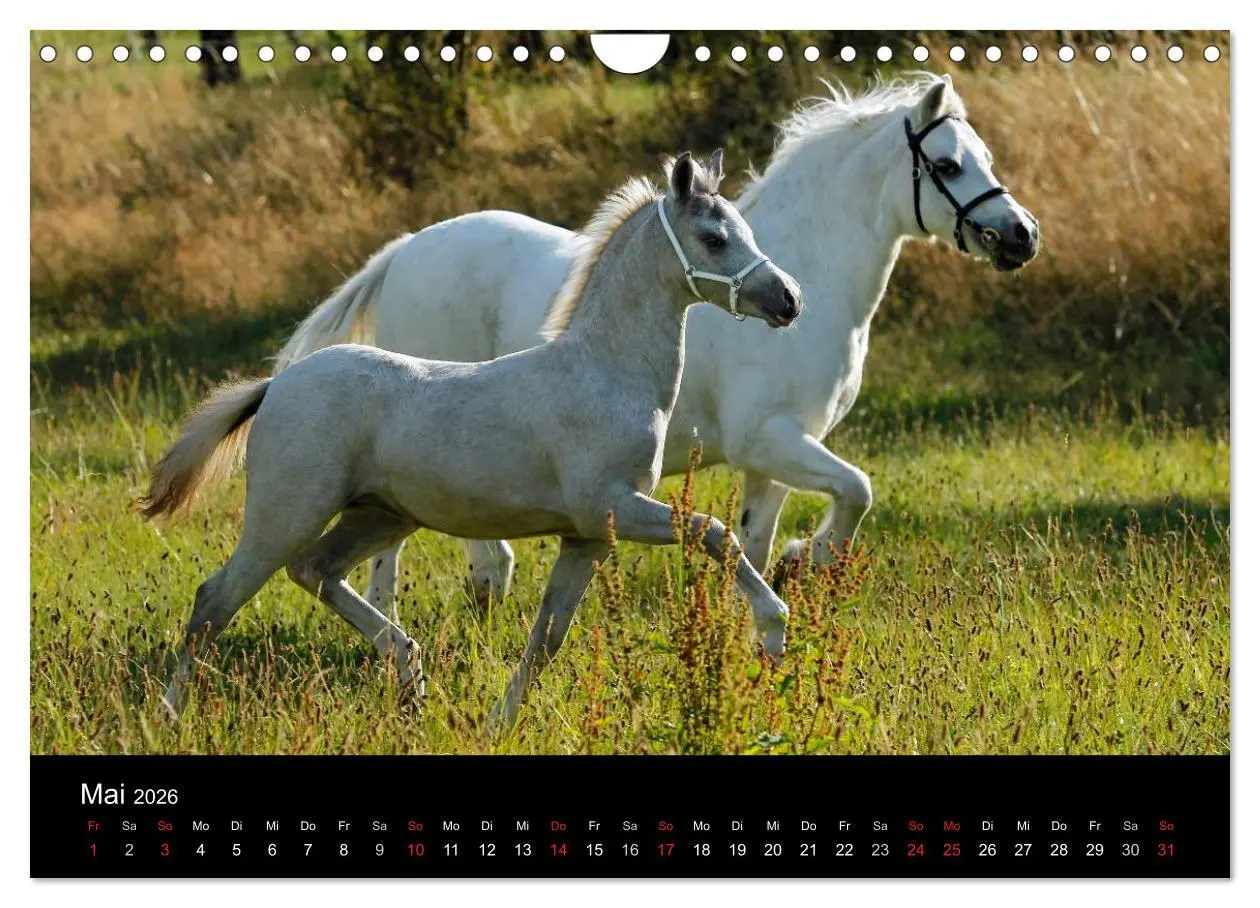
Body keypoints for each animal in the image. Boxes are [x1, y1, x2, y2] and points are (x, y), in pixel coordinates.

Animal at [141, 152, 803, 729]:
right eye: (714, 238)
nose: (789, 299)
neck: (605, 371)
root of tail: (277, 385)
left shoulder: (585, 538)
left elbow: (546, 639)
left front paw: (497, 723)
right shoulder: (611, 507)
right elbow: (714, 533)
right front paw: (773, 631)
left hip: (379, 516)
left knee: (315, 571)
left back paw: (409, 669)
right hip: (286, 514)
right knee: (215, 601)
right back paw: (170, 716)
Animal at [274, 74, 1041, 622]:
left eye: (984, 158)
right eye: (948, 165)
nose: (1022, 236)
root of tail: (406, 251)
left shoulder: (773, 458)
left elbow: (756, 539)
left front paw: (762, 608)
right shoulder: (772, 438)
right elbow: (857, 490)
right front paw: (809, 561)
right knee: (420, 555)